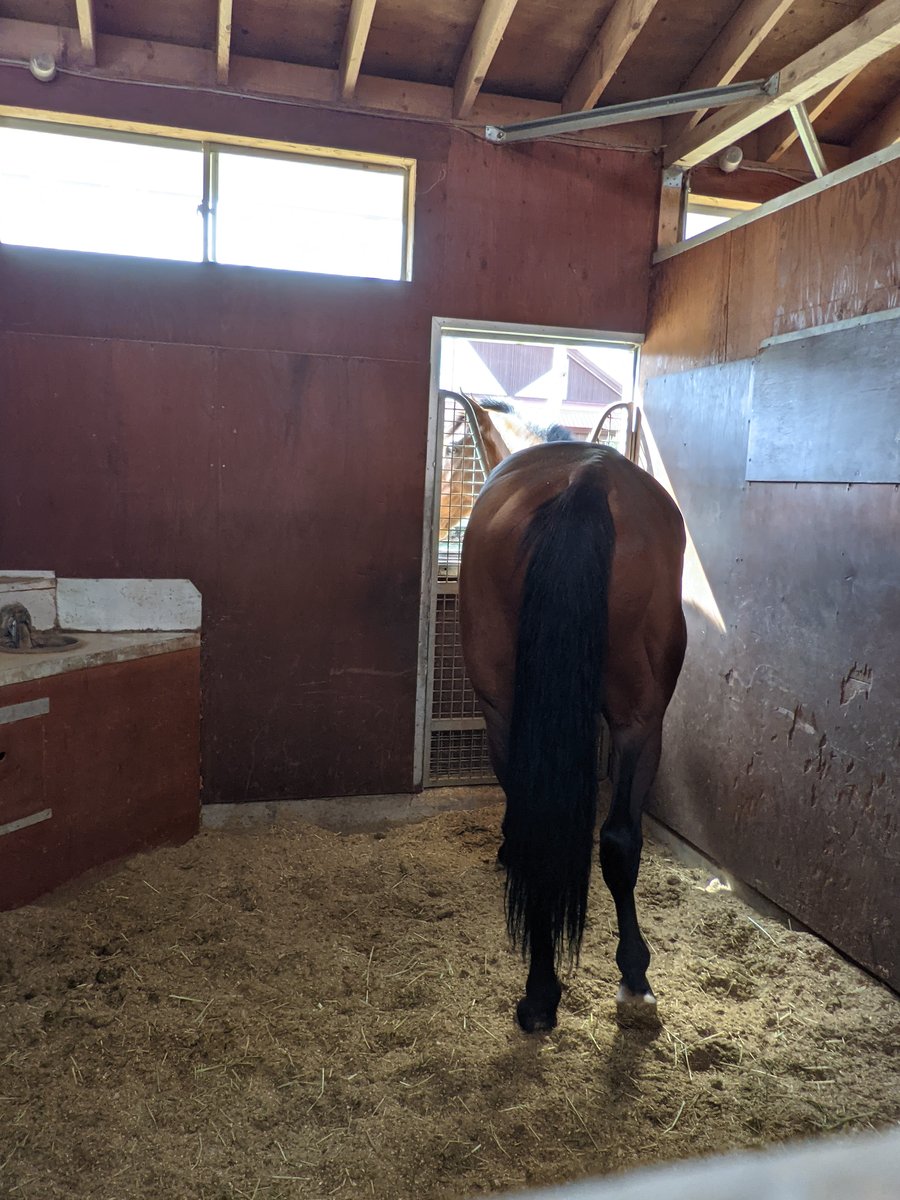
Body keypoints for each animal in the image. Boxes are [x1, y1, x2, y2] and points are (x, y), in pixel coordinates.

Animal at [458, 428, 687, 1033]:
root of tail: (588, 477)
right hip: (641, 721)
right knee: (620, 839)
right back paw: (632, 978)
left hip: (503, 706)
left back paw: (541, 993)